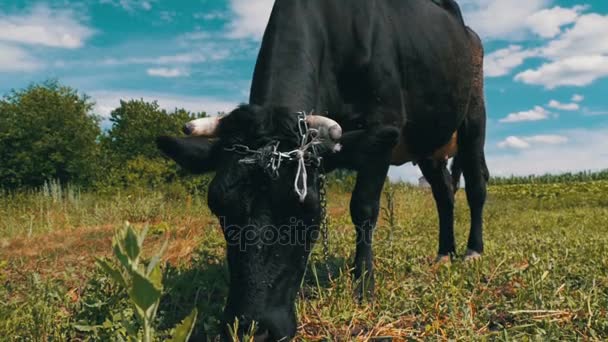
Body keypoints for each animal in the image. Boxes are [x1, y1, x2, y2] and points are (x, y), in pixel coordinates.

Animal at [157, 0, 490, 340]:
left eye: (309, 213)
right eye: (218, 206)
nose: (253, 326)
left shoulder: (384, 128)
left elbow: (363, 208)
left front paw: (363, 285)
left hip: (473, 118)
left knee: (476, 186)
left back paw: (472, 251)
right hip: (428, 143)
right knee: (444, 193)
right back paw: (444, 253)